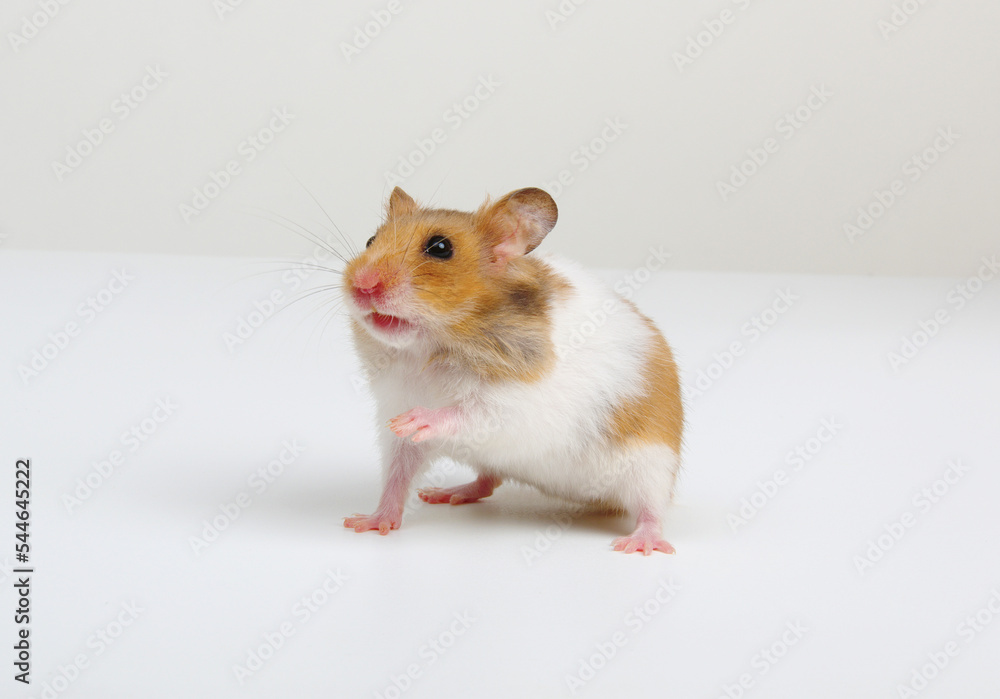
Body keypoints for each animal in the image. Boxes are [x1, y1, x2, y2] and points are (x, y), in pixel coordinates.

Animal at [340, 187, 684, 556]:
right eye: (370, 239)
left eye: (440, 248)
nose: (362, 285)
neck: (426, 350)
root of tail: (588, 497)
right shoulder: (399, 422)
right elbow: (397, 477)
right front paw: (366, 523)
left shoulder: (515, 406)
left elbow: (465, 413)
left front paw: (414, 420)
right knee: (488, 481)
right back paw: (445, 494)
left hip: (652, 466)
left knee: (652, 507)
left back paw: (640, 543)